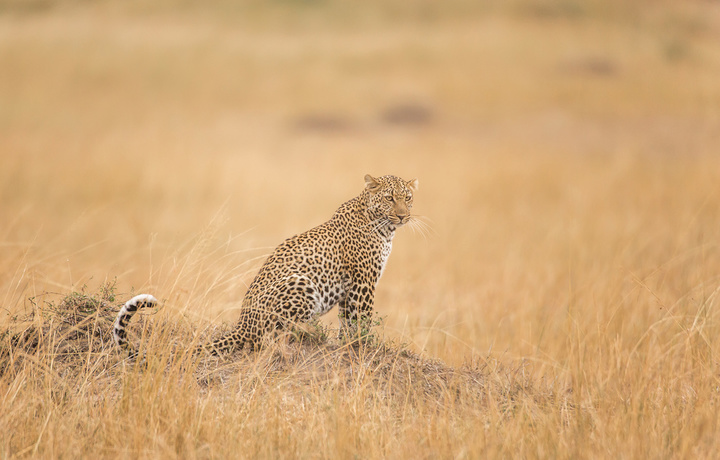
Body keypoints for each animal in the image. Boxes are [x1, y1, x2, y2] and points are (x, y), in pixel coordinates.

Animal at [112, 174, 416, 354]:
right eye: (390, 198)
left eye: (409, 198)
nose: (403, 216)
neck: (384, 227)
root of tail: (242, 324)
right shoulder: (363, 282)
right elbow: (361, 319)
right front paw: (364, 346)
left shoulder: (351, 288)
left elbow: (347, 320)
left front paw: (348, 343)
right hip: (301, 283)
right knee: (267, 338)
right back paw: (306, 333)